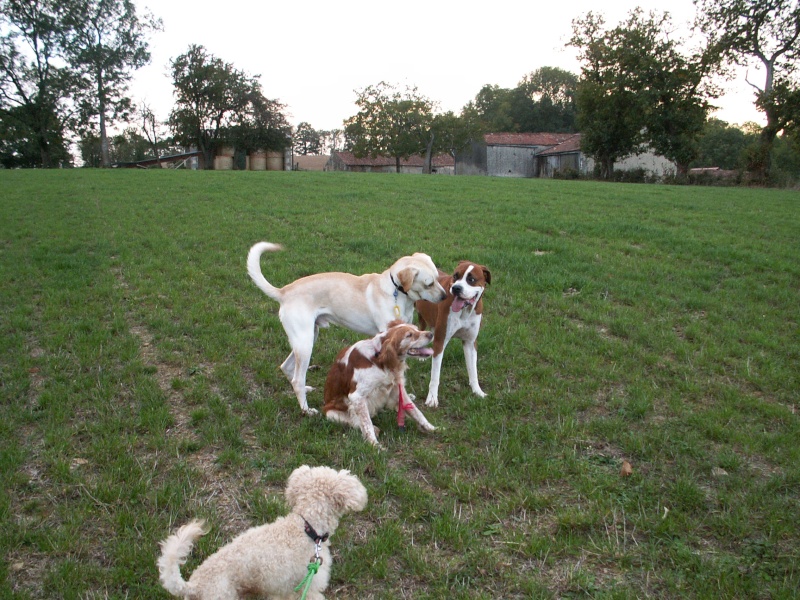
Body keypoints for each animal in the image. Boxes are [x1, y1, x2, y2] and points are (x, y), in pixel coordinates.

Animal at [247, 241, 446, 414]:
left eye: (438, 279)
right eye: (429, 283)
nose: (445, 296)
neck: (397, 292)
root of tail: (284, 292)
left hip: (308, 337)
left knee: (287, 368)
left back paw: (305, 391)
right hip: (305, 343)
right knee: (297, 379)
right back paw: (306, 410)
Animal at [416, 262, 490, 408]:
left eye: (471, 279)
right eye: (455, 276)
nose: (456, 288)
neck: (465, 311)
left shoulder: (470, 343)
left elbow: (473, 370)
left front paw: (477, 391)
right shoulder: (440, 342)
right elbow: (435, 376)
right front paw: (432, 398)